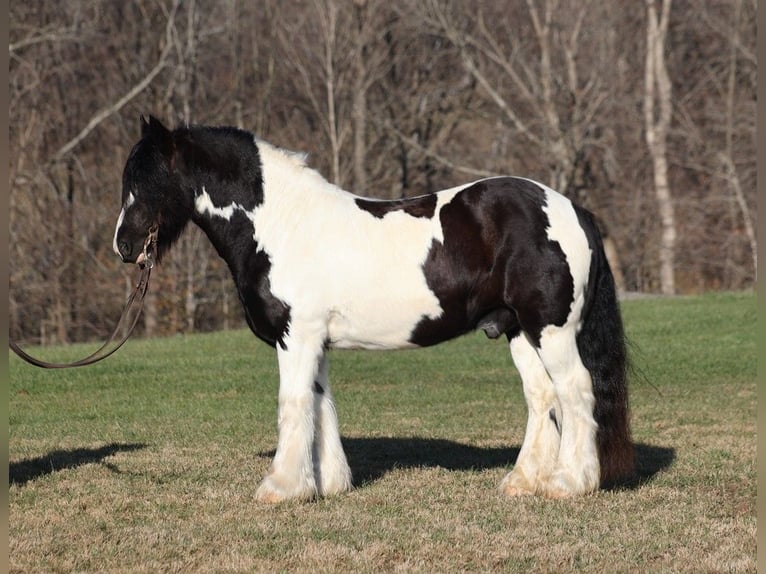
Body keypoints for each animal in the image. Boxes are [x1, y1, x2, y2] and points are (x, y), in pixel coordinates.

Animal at [112, 117, 632, 504]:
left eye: (147, 180)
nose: (124, 246)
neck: (281, 225)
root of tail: (573, 209)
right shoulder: (315, 341)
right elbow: (320, 403)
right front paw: (328, 484)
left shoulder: (296, 337)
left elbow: (293, 403)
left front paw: (281, 488)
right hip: (519, 330)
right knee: (542, 397)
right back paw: (524, 482)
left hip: (552, 330)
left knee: (575, 390)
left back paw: (569, 483)